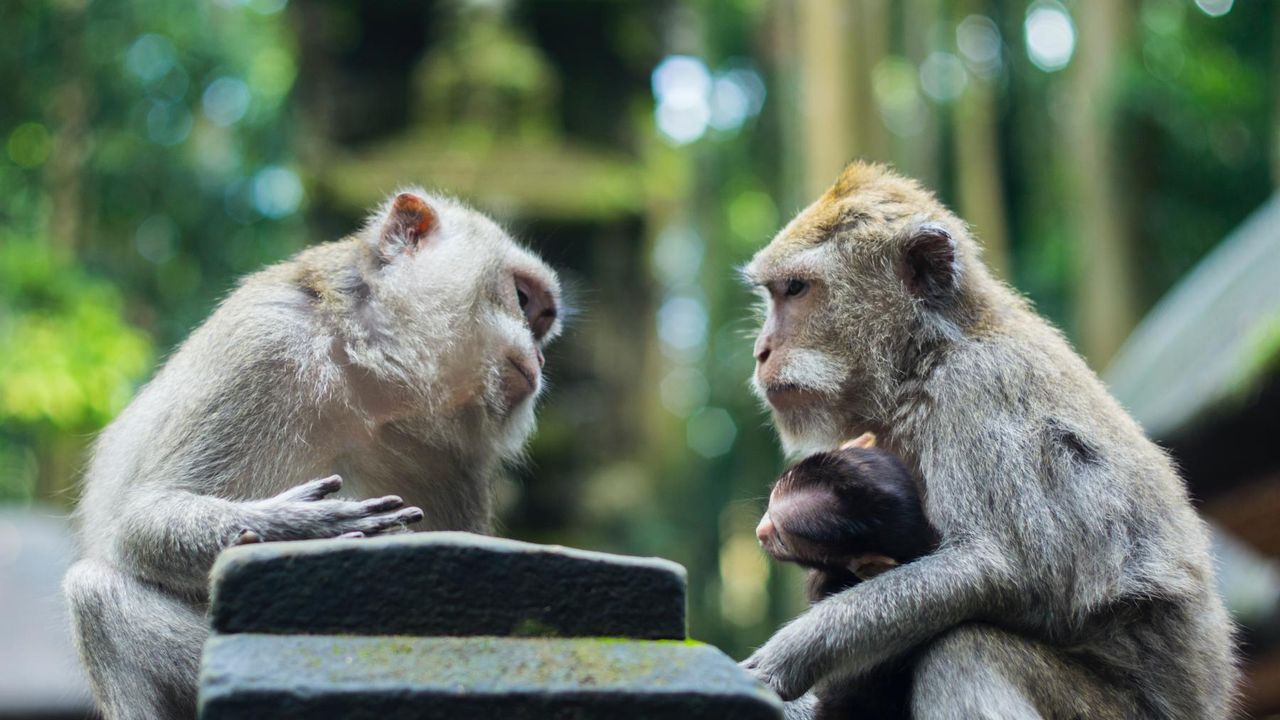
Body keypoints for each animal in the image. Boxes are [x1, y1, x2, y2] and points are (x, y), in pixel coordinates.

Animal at [60, 189, 560, 717]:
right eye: (522, 299)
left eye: (543, 321)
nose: (541, 357)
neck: (370, 379)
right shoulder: (263, 342)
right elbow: (140, 521)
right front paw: (300, 526)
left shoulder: (458, 457)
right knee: (95, 595)